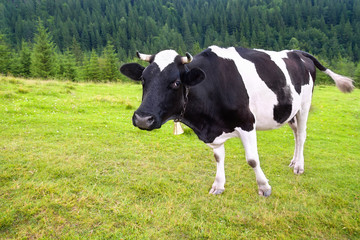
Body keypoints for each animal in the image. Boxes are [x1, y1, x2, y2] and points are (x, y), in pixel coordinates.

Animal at [120, 46, 354, 196]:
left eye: (176, 83)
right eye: (143, 80)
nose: (142, 118)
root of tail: (297, 52)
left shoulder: (247, 123)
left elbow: (252, 159)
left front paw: (264, 187)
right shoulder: (214, 131)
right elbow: (218, 157)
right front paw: (218, 186)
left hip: (304, 105)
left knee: (303, 135)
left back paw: (299, 166)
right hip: (289, 110)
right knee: (296, 134)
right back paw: (293, 161)